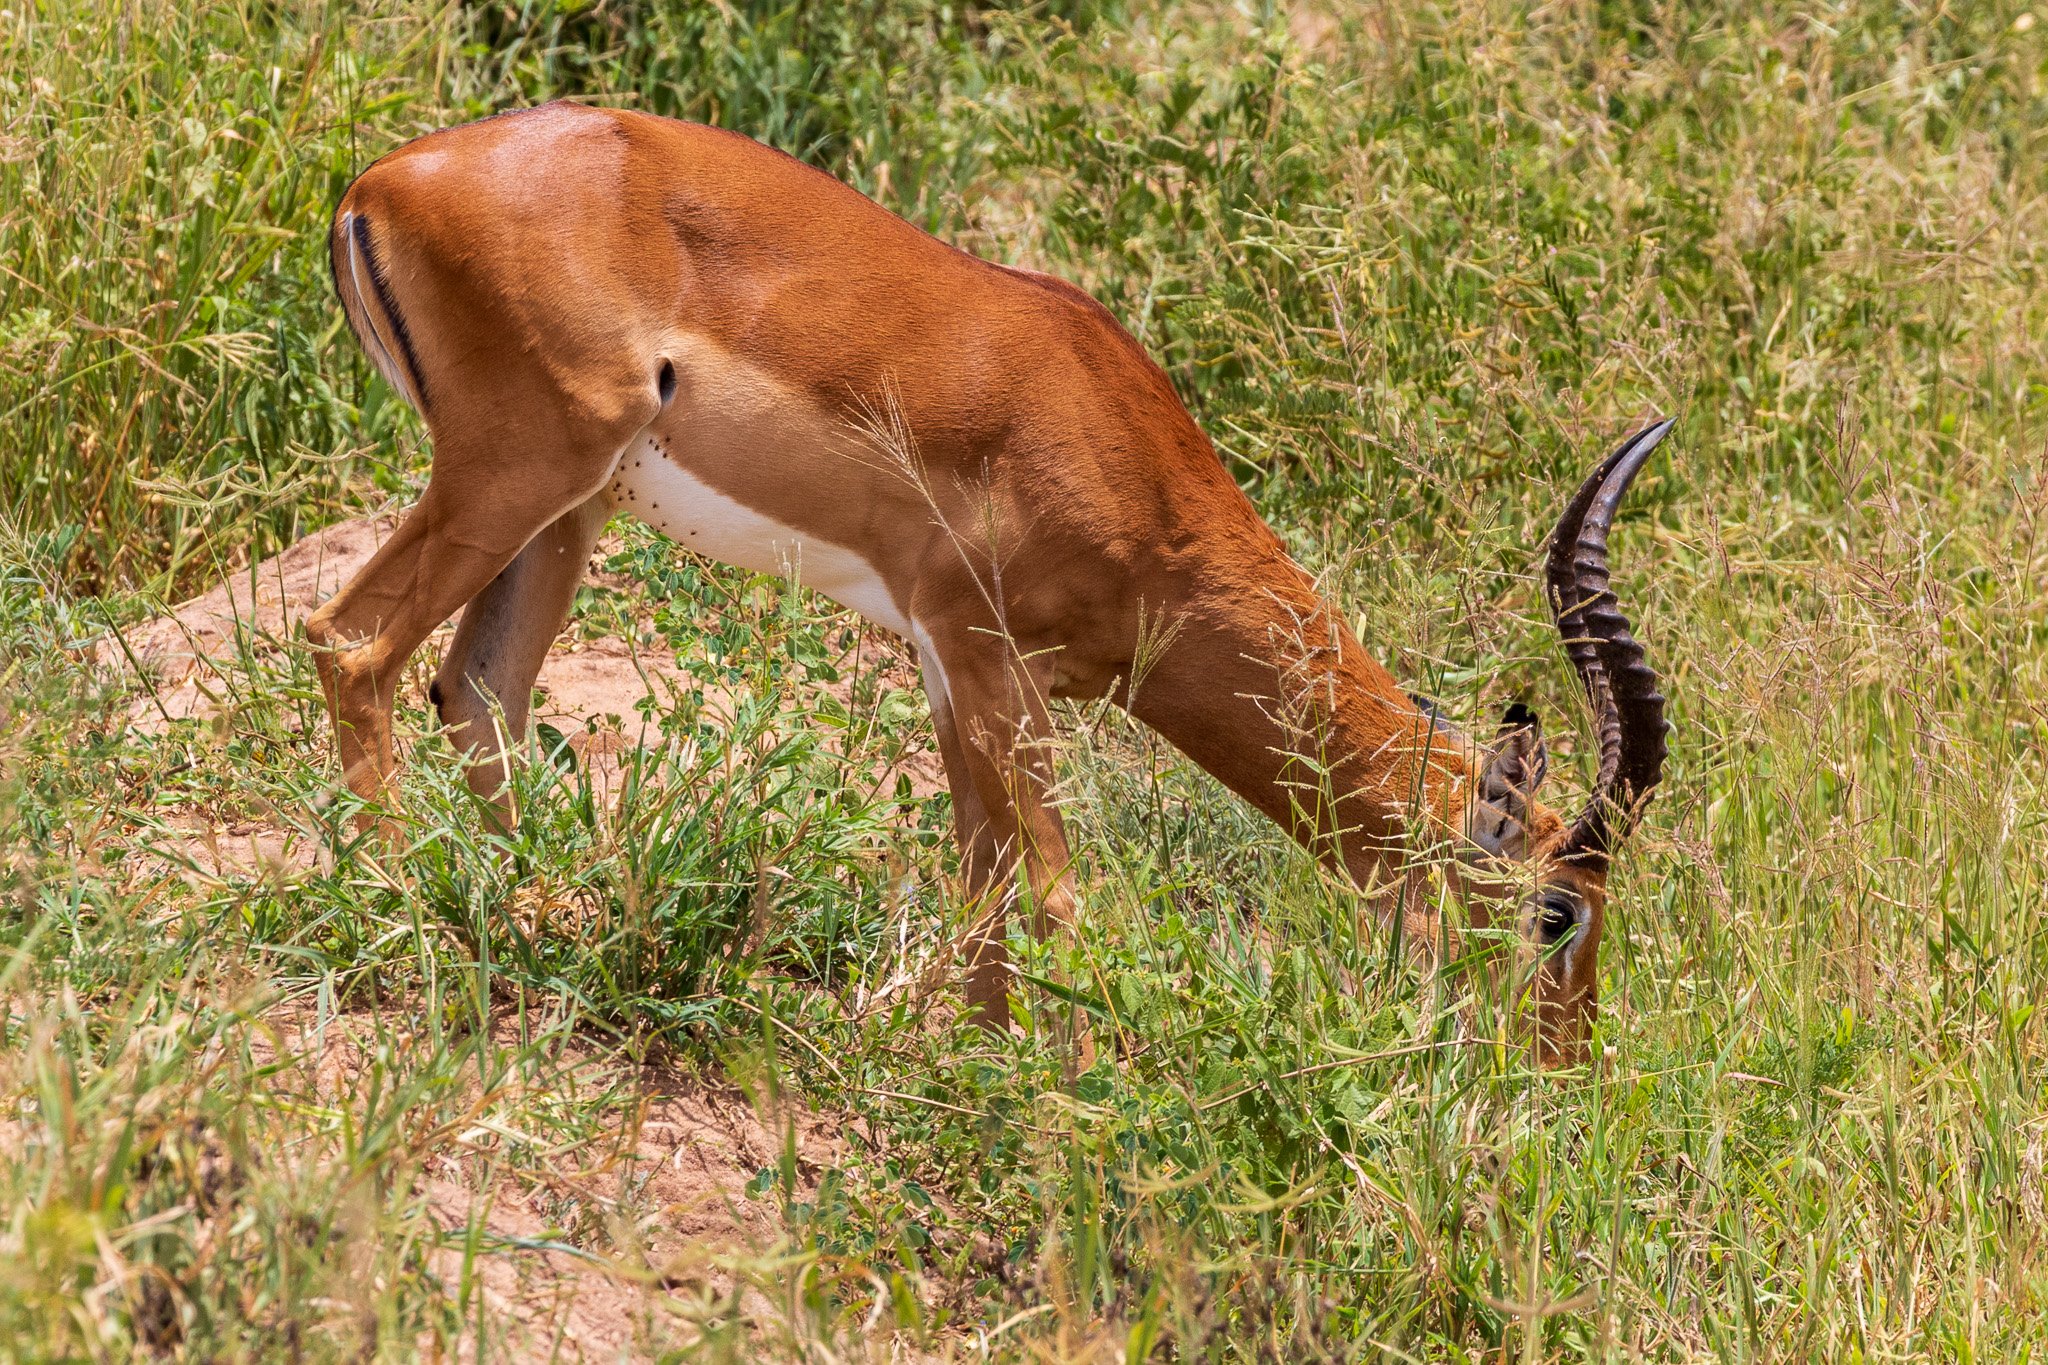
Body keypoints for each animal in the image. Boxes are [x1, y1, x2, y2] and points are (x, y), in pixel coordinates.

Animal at [315, 106, 1662, 1064]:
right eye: (1558, 911)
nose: (1562, 1065)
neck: (1120, 446)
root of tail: (380, 183)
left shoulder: (945, 660)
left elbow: (982, 872)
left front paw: (981, 1068)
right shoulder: (987, 654)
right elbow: (1057, 889)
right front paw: (1077, 1089)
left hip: (569, 509)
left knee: (479, 693)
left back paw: (534, 915)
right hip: (517, 472)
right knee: (351, 644)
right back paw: (409, 909)